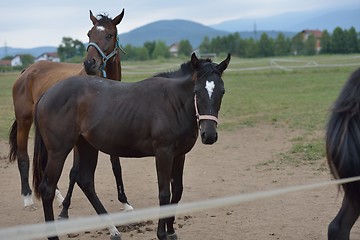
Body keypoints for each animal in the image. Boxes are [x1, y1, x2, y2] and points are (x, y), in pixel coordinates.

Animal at [8, 8, 131, 212]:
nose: (89, 63)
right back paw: (28, 199)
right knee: (23, 157)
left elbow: (116, 164)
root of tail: (27, 71)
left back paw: (56, 196)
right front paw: (65, 207)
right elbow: (75, 172)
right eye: (89, 34)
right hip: (24, 121)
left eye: (109, 34)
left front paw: (125, 202)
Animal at [33, 53, 231, 239]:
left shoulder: (179, 155)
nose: (209, 135)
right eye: (197, 91)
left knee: (85, 181)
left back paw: (113, 230)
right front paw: (162, 234)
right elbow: (164, 193)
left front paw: (171, 231)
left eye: (222, 91)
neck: (173, 102)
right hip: (59, 152)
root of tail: (46, 94)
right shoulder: (164, 154)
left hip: (86, 146)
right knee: (48, 189)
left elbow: (177, 191)